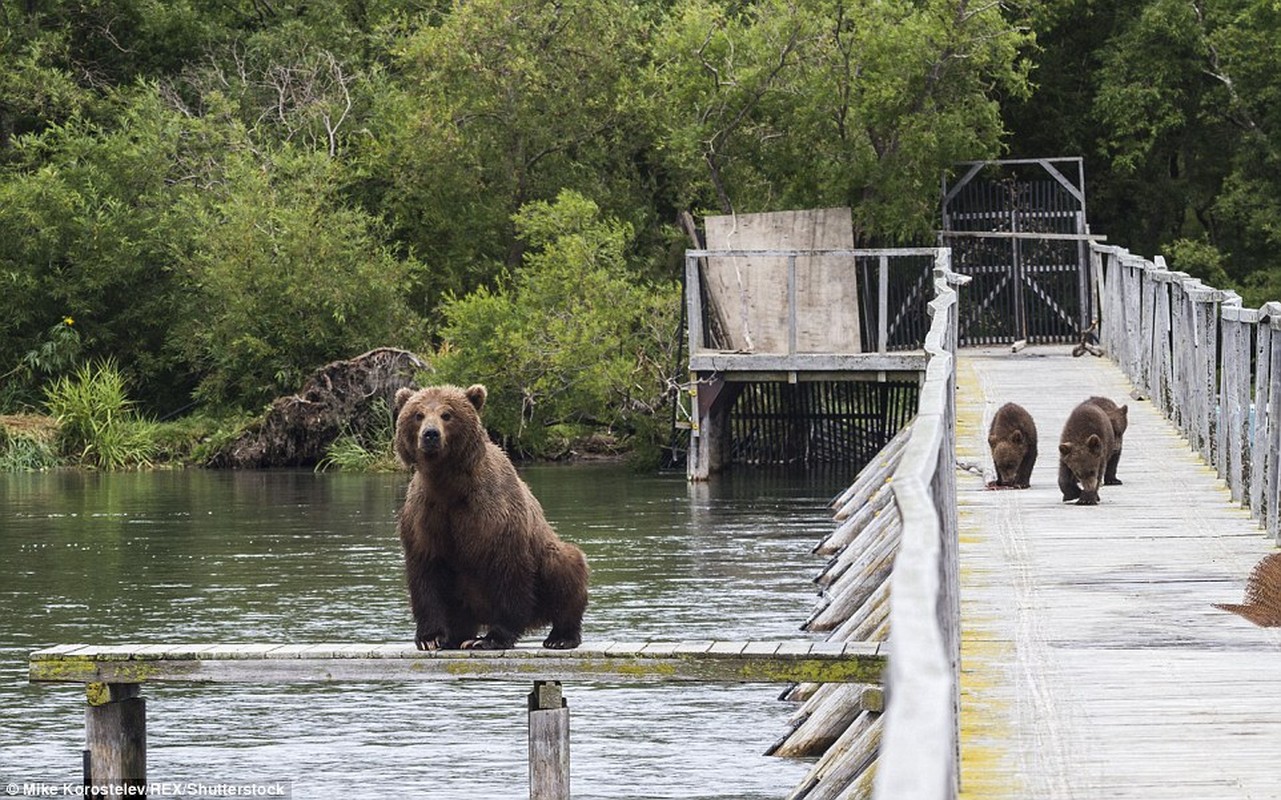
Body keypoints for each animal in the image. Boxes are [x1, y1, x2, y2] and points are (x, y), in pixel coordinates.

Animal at [391, 381, 586, 650]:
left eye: (447, 414)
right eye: (417, 414)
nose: (430, 434)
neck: (449, 485)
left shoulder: (495, 516)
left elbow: (508, 572)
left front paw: (493, 637)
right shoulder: (425, 515)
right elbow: (426, 572)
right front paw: (430, 637)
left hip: (545, 556)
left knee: (565, 565)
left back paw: (561, 636)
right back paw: (459, 636)